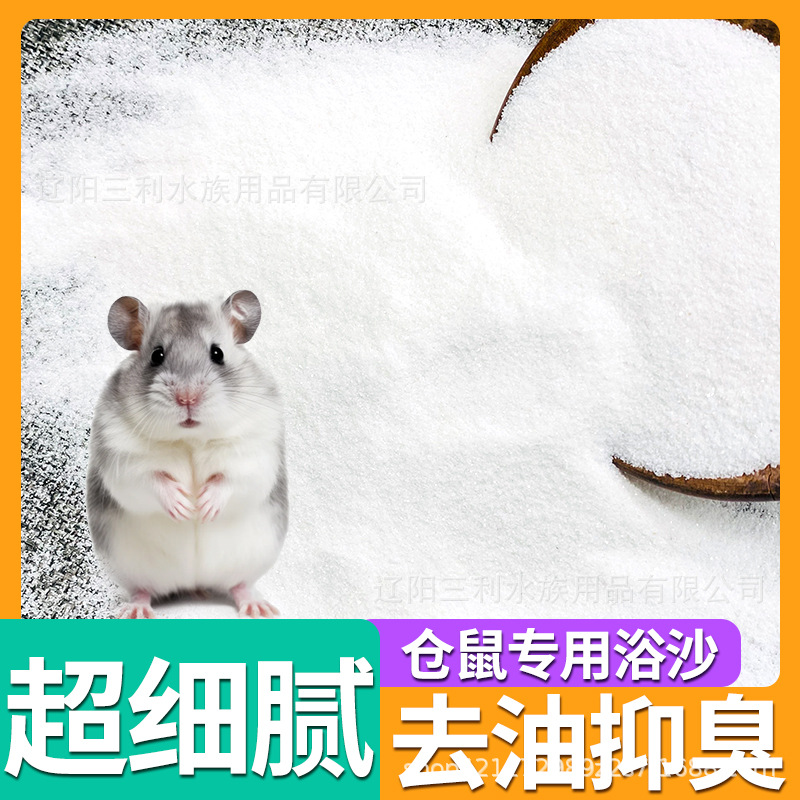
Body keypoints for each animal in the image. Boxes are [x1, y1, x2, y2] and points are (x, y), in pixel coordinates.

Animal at [86, 290, 287, 619]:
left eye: (217, 353)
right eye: (157, 355)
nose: (187, 398)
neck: (189, 439)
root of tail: (194, 583)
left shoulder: (254, 454)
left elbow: (231, 480)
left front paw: (203, 507)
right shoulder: (123, 461)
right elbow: (150, 480)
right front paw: (183, 507)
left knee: (239, 585)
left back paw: (259, 608)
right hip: (131, 569)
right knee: (143, 589)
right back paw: (136, 610)